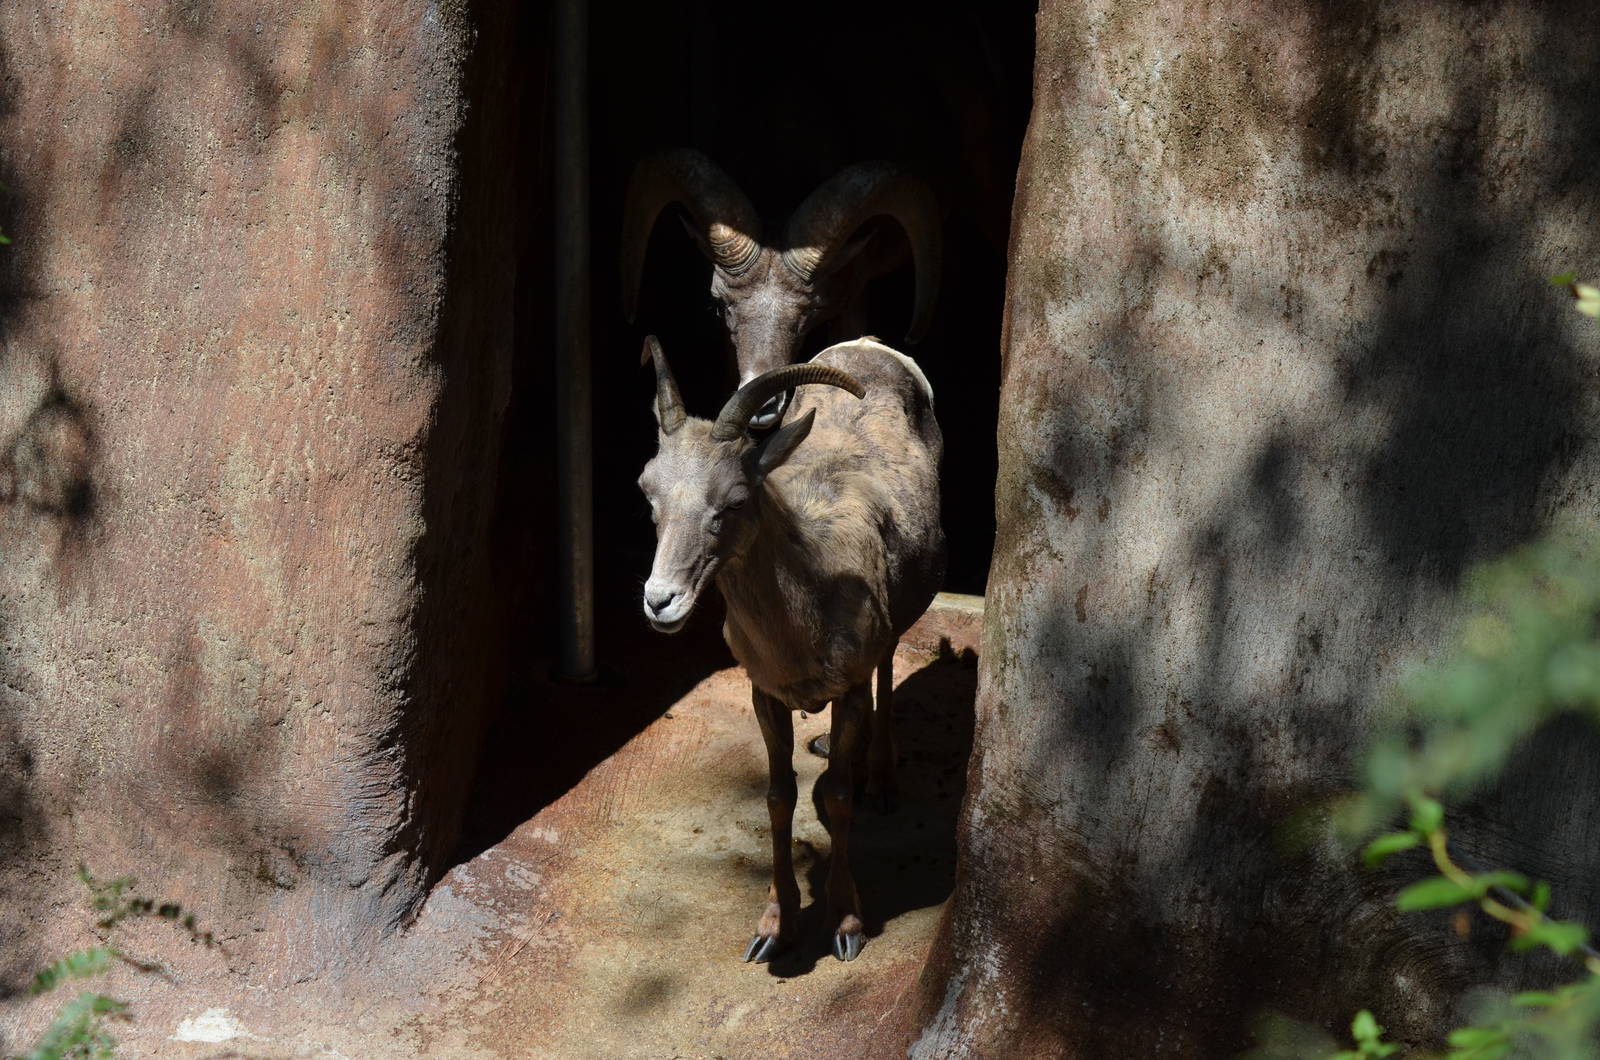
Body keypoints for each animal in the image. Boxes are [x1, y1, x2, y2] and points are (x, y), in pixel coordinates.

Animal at [636, 332, 945, 962]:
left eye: (733, 501)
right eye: (648, 493)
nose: (660, 602)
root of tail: (870, 344)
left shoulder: (847, 690)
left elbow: (843, 799)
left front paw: (846, 925)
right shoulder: (767, 695)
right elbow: (779, 800)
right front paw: (773, 932)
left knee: (887, 668)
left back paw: (882, 778)